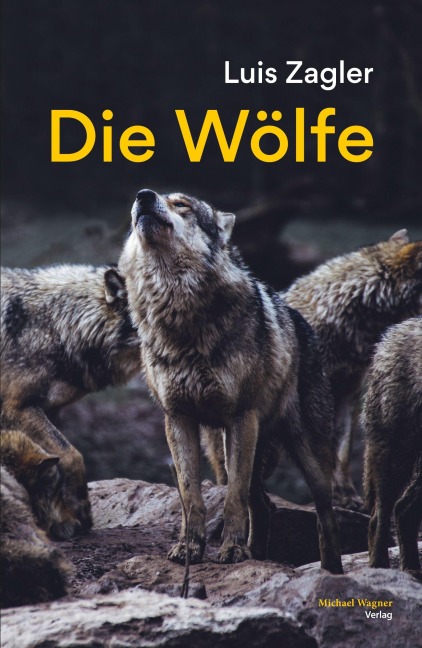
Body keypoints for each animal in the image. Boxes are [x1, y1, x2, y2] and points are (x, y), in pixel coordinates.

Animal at [1, 264, 141, 533]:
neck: (58, 326)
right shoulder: (17, 407)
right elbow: (72, 455)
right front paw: (79, 511)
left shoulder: (50, 410)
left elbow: (54, 461)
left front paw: (64, 517)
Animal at [119, 188, 343, 573]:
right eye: (144, 201)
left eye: (182, 205)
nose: (143, 196)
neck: (179, 315)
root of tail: (301, 321)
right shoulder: (177, 419)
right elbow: (190, 495)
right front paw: (190, 549)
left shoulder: (240, 417)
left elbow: (233, 499)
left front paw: (233, 551)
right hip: (228, 447)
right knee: (264, 505)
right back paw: (259, 555)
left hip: (306, 454)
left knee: (324, 515)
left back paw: (331, 572)